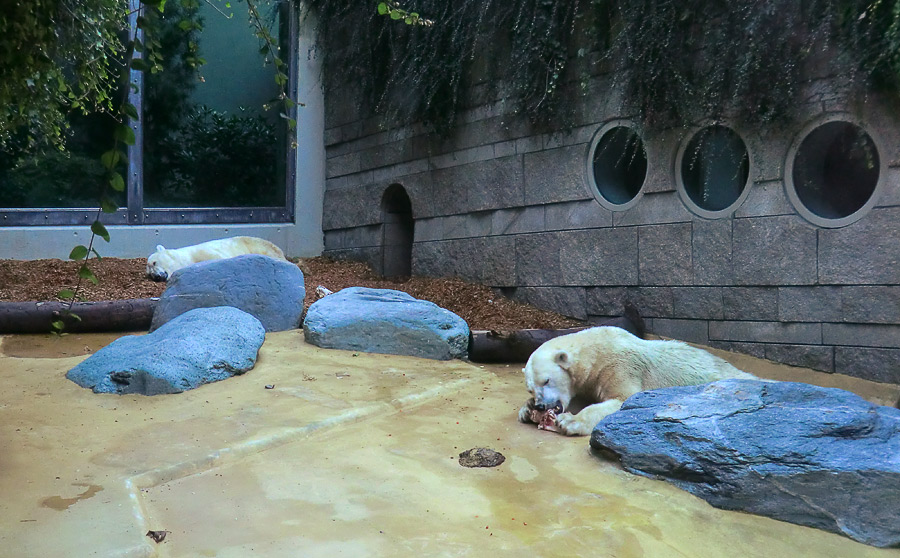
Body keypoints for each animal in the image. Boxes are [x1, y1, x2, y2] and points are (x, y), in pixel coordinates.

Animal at [516, 328, 756, 438]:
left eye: (547, 380)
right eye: (530, 388)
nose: (541, 405)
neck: (595, 352)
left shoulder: (620, 366)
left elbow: (622, 399)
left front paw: (569, 421)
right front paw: (526, 410)